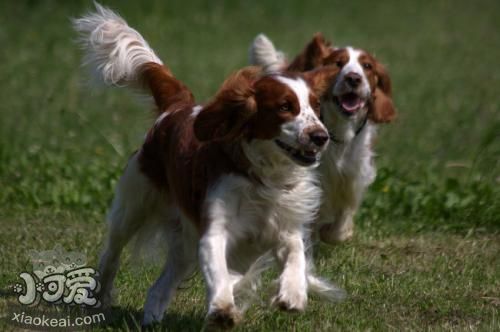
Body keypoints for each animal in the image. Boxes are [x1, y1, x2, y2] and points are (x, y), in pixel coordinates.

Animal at [73, 3, 344, 328]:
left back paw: (152, 319)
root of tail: (176, 108)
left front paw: (293, 293)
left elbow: (295, 254)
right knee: (111, 256)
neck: (263, 177)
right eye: (284, 107)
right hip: (132, 207)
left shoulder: (284, 228)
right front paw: (223, 308)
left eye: (315, 107)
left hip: (183, 242)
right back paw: (99, 299)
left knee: (159, 287)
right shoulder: (214, 232)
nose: (321, 136)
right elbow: (221, 274)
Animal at [248, 33, 396, 245]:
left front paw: (333, 231)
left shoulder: (354, 175)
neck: (340, 133)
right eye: (337, 63)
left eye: (367, 66)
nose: (354, 78)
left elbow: (342, 218)